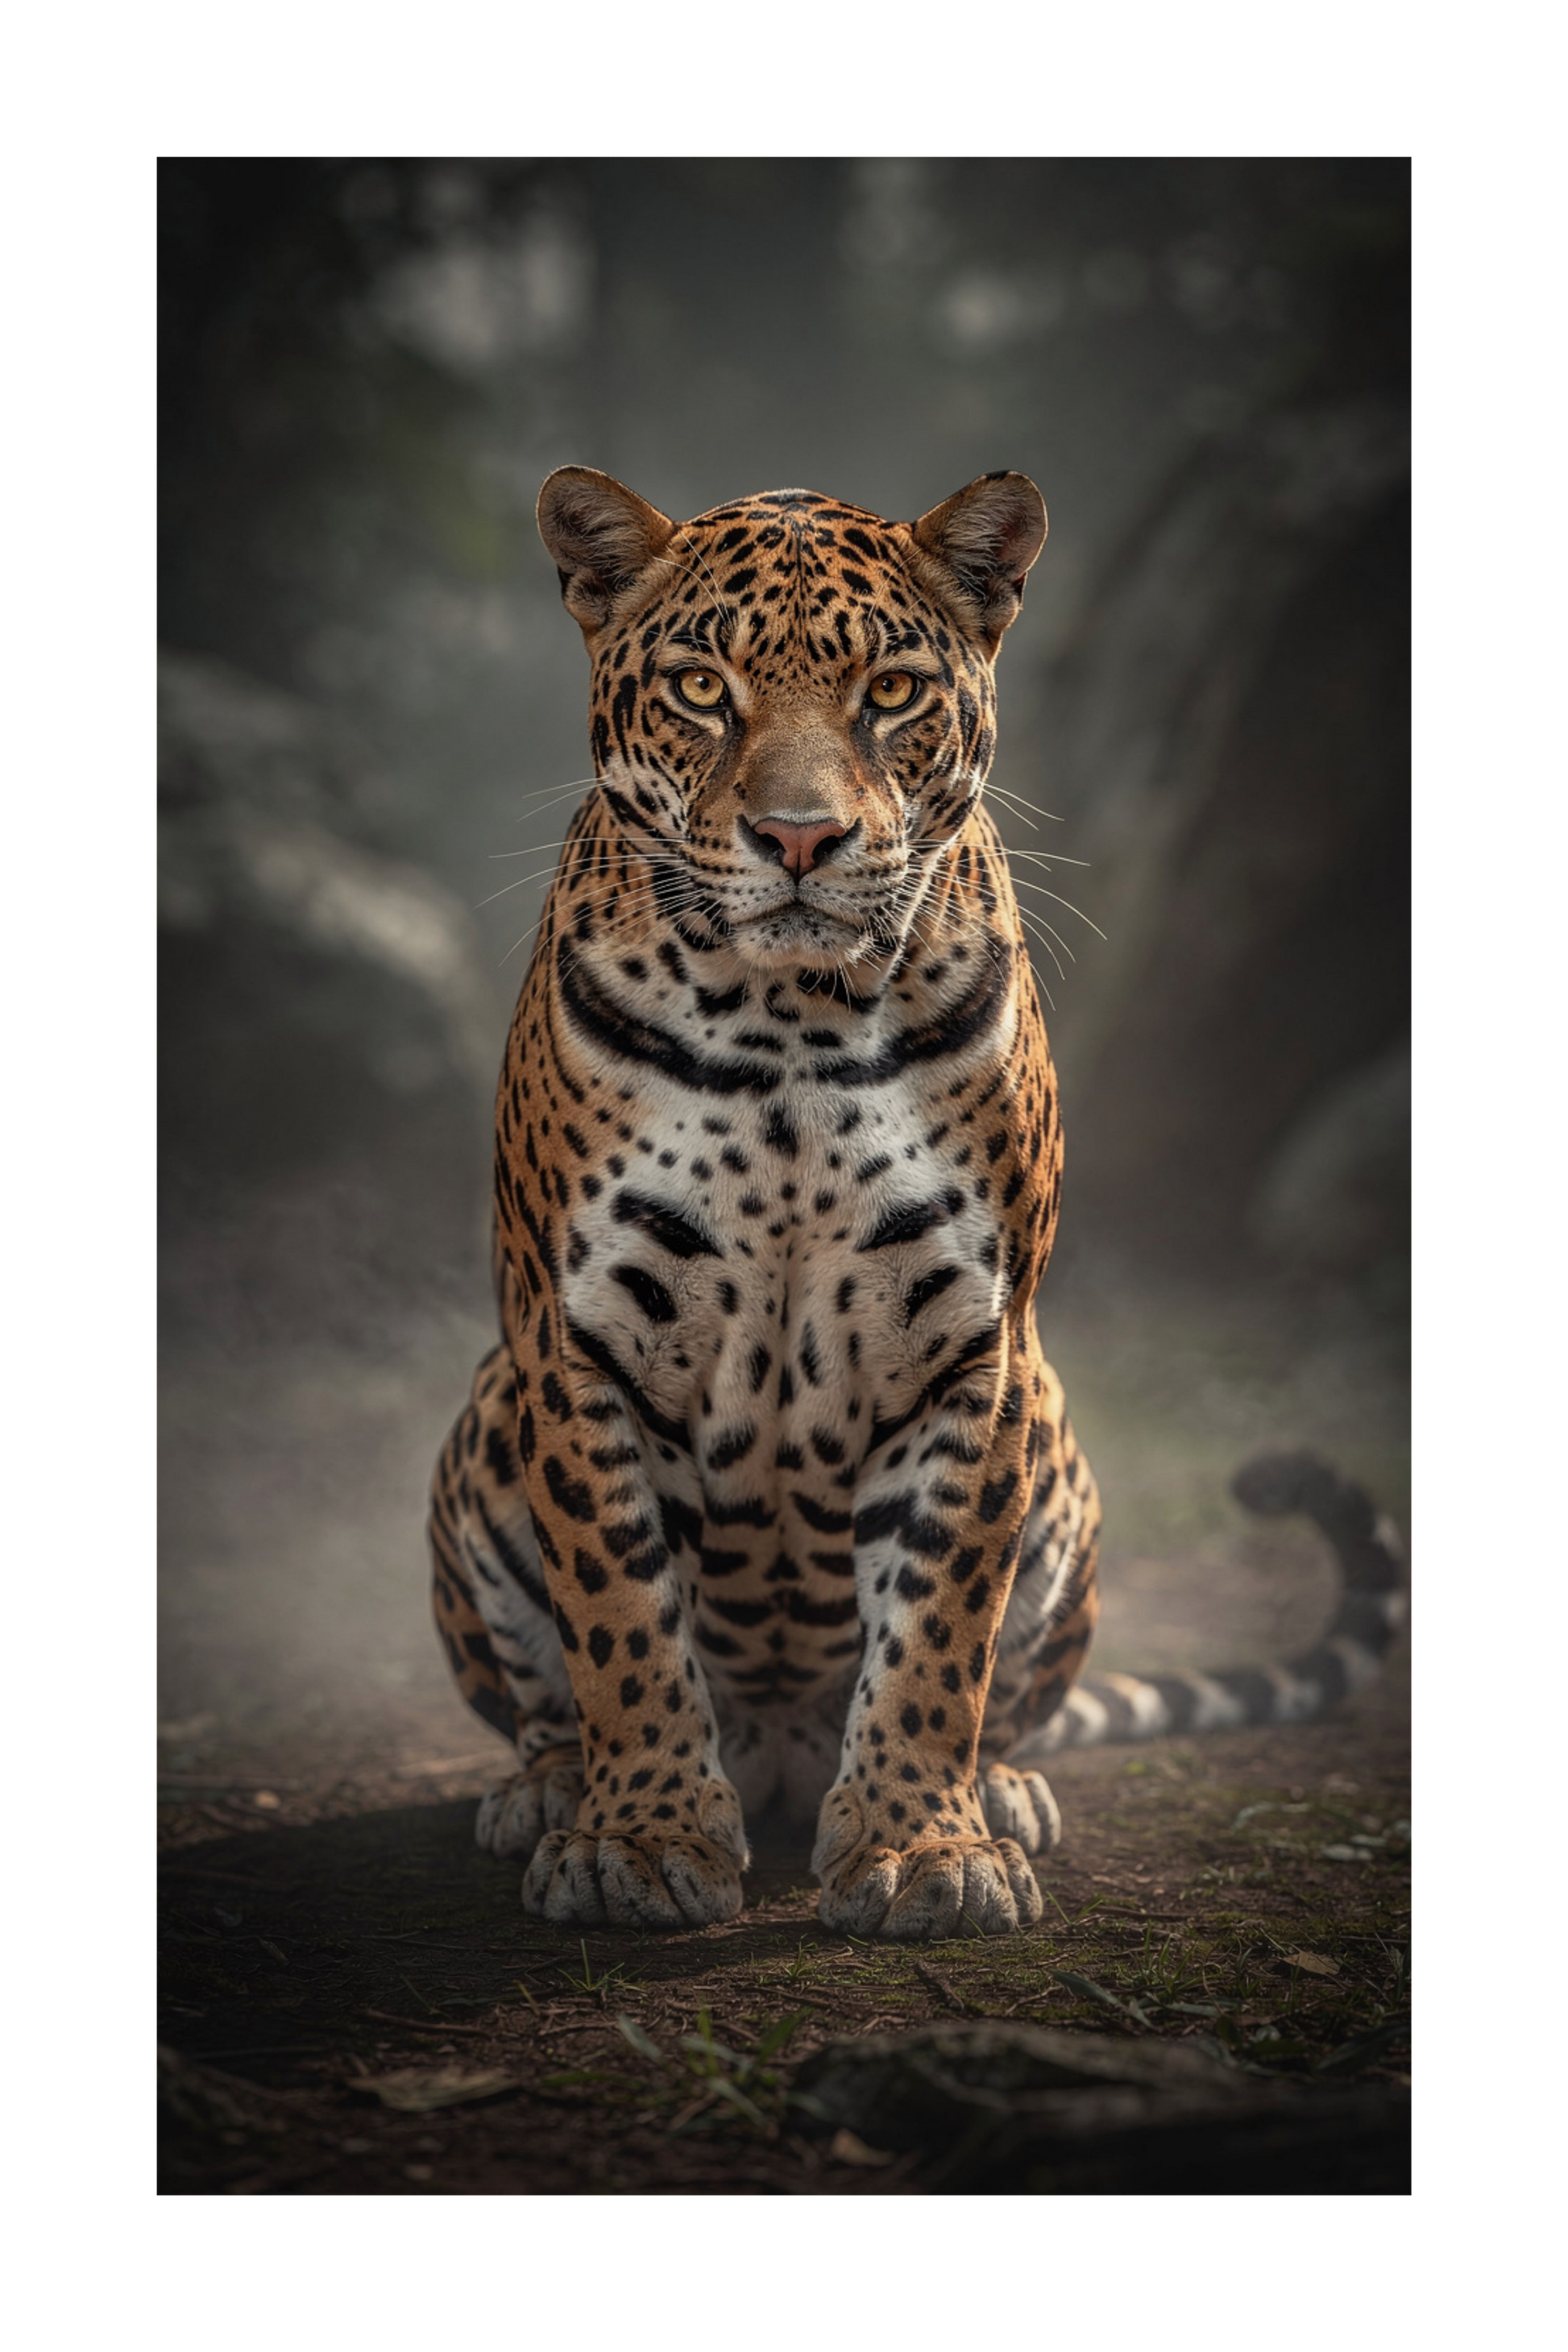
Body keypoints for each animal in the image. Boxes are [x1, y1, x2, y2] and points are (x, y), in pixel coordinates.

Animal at [428, 465, 1406, 1941]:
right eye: (702, 686)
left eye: (888, 691)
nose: (797, 837)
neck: (786, 1021)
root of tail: (778, 1755)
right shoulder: (573, 1334)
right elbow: (619, 1614)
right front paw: (639, 1837)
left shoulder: (975, 1343)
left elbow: (943, 1618)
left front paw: (920, 1846)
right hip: (485, 1415)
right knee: (543, 1693)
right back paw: (549, 1787)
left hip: (1058, 1433)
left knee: (1009, 1692)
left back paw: (998, 1786)